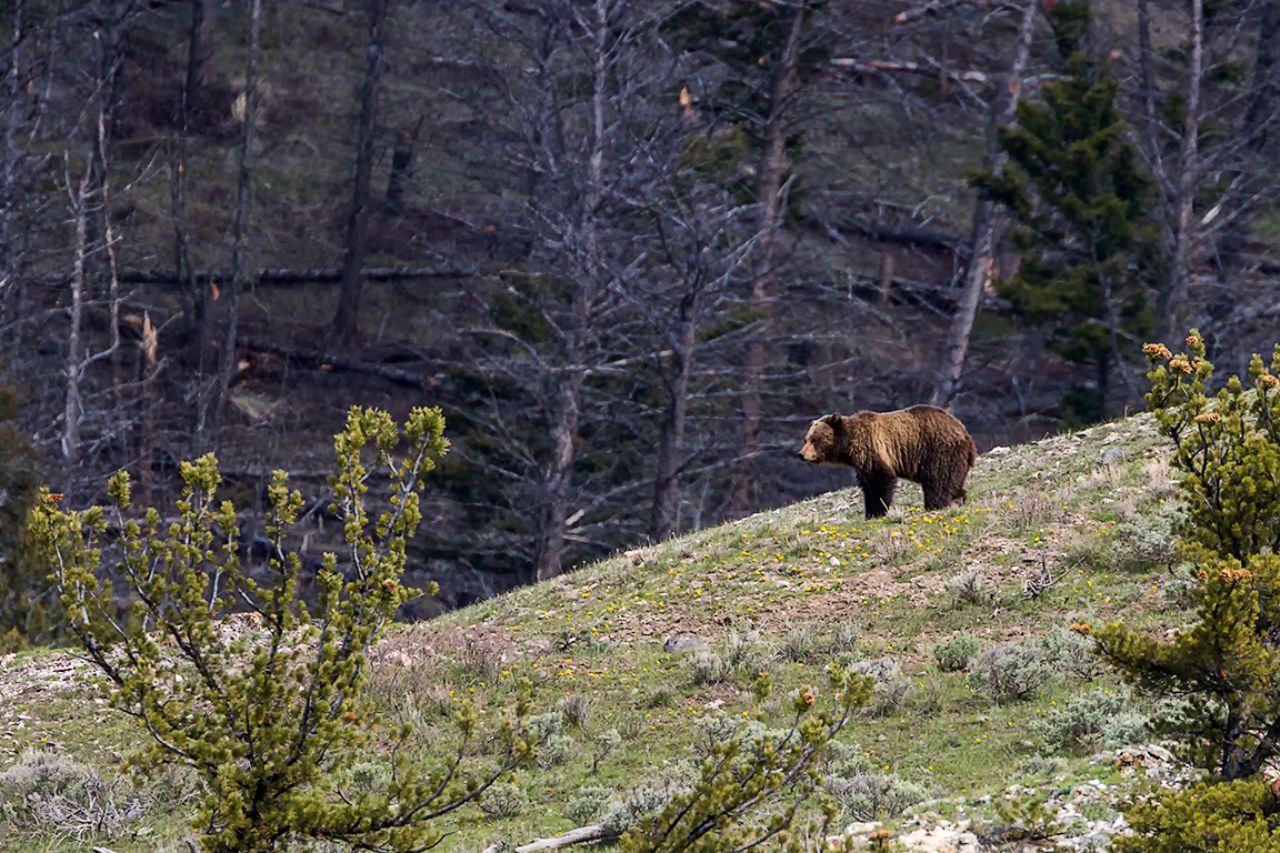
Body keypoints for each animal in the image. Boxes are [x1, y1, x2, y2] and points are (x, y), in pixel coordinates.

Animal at [797, 405, 977, 519]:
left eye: (814, 439)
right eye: (805, 439)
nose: (801, 454)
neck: (848, 444)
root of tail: (965, 433)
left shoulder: (872, 449)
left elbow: (880, 481)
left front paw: (877, 511)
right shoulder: (861, 464)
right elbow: (868, 485)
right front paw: (869, 513)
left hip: (938, 450)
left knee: (938, 480)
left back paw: (935, 504)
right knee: (952, 480)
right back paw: (958, 498)